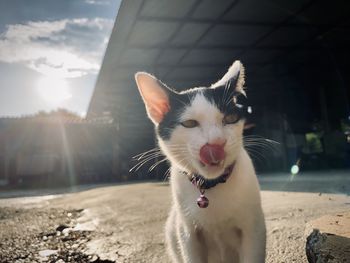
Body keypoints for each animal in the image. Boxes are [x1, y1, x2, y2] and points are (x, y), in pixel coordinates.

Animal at [135, 60, 266, 262]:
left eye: (229, 119)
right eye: (189, 124)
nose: (216, 143)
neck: (211, 184)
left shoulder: (254, 227)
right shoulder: (187, 232)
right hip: (172, 228)